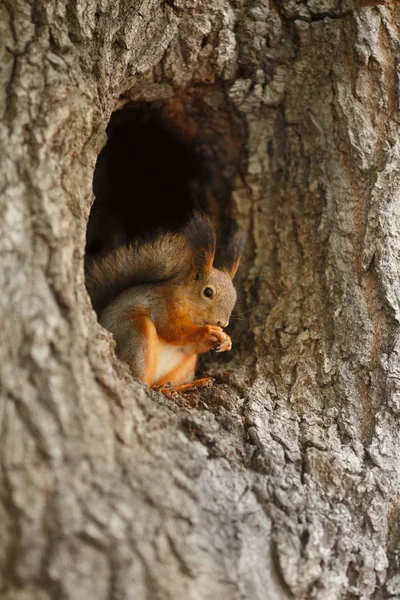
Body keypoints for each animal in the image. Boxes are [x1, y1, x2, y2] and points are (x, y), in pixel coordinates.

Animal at [86, 213, 245, 396]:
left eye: (235, 297)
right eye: (208, 292)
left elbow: (193, 346)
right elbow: (172, 330)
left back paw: (184, 385)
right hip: (136, 335)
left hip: (185, 365)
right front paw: (208, 331)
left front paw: (226, 340)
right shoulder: (163, 305)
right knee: (145, 382)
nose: (222, 323)